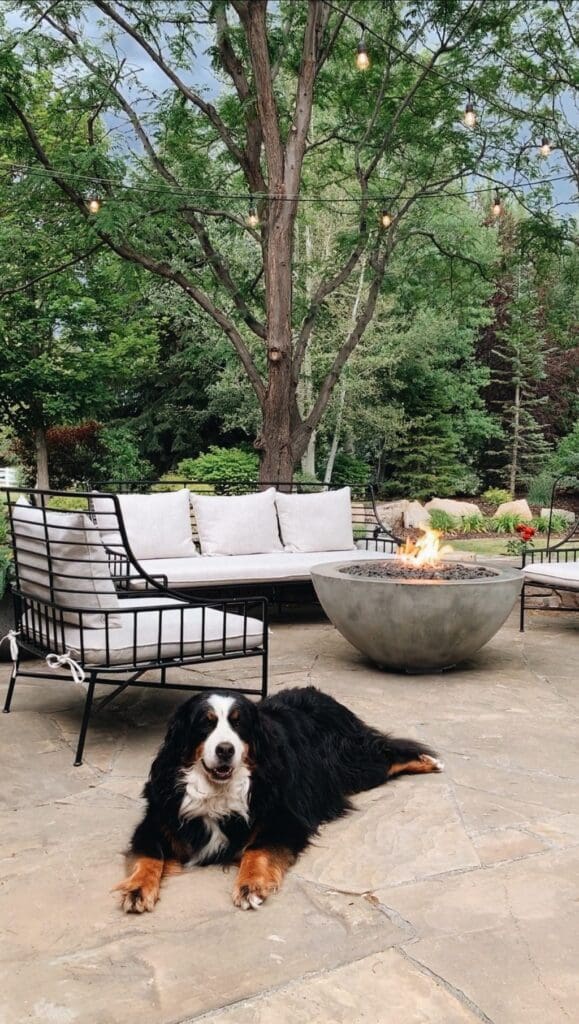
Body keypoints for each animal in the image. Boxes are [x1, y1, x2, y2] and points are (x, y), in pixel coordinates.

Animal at [117, 688, 442, 913]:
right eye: (205, 724)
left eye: (239, 725)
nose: (225, 750)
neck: (218, 790)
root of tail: (321, 695)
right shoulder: (158, 819)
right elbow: (149, 855)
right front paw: (136, 889)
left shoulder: (285, 817)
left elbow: (258, 849)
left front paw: (250, 885)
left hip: (354, 765)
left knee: (385, 755)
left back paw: (428, 761)